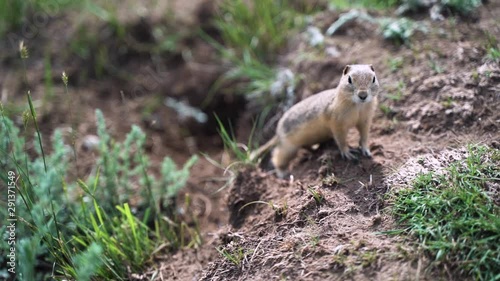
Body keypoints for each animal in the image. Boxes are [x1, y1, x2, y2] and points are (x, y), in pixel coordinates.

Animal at [250, 64, 378, 176]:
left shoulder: (366, 119)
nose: (363, 95)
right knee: (277, 156)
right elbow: (341, 139)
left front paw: (366, 150)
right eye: (349, 79)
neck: (358, 107)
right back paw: (282, 172)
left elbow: (364, 135)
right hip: (288, 147)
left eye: (373, 78)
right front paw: (348, 153)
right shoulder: (337, 123)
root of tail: (277, 132)